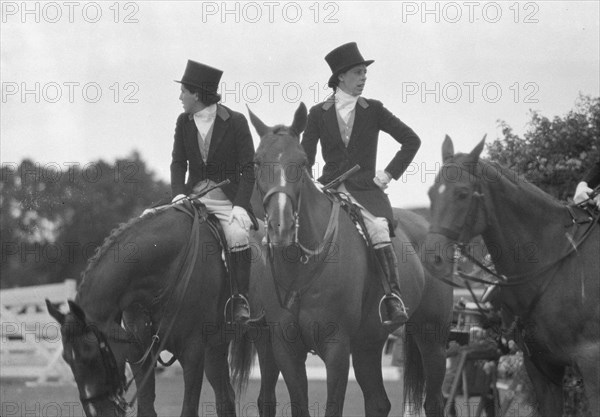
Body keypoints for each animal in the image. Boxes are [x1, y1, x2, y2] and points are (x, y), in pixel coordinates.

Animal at [44, 200, 255, 414]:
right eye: (66, 359)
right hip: (215, 349)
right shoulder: (138, 351)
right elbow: (146, 407)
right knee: (225, 397)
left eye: (91, 357)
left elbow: (188, 409)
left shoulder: (193, 352)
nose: (97, 413)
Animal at [246, 104, 452, 416]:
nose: (281, 227)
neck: (300, 267)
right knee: (378, 401)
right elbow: (299, 405)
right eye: (258, 162)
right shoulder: (285, 347)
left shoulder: (337, 347)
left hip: (431, 336)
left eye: (302, 162)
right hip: (369, 342)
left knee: (434, 400)